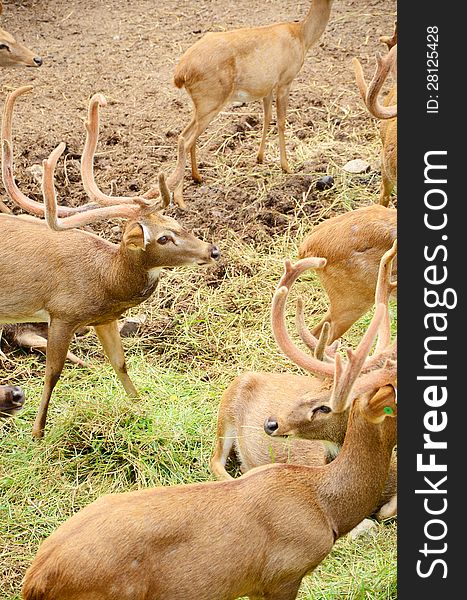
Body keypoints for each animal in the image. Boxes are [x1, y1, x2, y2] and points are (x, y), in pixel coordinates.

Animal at [0, 86, 221, 438]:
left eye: (177, 223)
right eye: (162, 238)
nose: (211, 251)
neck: (104, 280)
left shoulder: (104, 319)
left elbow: (120, 363)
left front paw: (142, 408)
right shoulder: (61, 313)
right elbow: (52, 374)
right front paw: (37, 433)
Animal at [174, 0, 334, 206]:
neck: (302, 35)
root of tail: (180, 73)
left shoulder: (267, 88)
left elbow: (267, 118)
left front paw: (260, 158)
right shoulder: (285, 80)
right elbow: (281, 122)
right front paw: (286, 167)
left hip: (201, 106)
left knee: (184, 135)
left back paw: (197, 177)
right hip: (211, 101)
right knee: (186, 140)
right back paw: (180, 198)